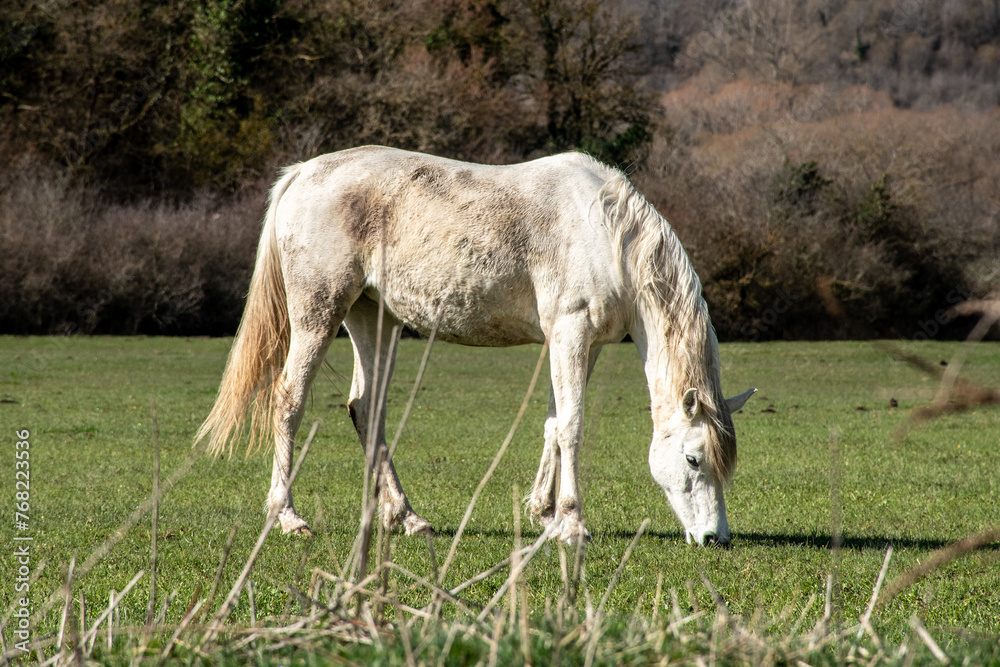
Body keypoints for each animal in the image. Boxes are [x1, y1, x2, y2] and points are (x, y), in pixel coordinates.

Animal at [196, 145, 755, 546]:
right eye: (693, 460)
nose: (716, 538)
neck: (607, 234)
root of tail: (302, 173)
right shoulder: (570, 332)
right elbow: (572, 427)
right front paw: (572, 524)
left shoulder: (581, 342)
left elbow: (554, 423)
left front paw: (544, 515)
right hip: (320, 311)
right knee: (289, 400)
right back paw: (288, 518)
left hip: (373, 318)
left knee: (366, 407)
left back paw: (407, 518)